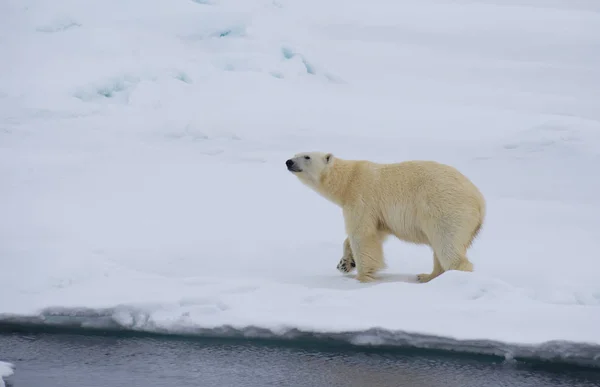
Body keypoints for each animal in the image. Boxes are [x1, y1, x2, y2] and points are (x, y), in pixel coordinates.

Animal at [284, 153, 486, 284]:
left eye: (306, 156)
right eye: (295, 154)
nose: (288, 162)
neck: (348, 180)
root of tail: (480, 201)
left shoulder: (361, 197)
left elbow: (362, 235)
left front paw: (362, 277)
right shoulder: (378, 214)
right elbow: (374, 233)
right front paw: (345, 263)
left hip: (445, 208)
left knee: (446, 244)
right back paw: (427, 276)